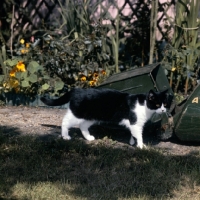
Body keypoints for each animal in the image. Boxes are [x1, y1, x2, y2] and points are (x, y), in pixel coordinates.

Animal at [41, 88, 169, 148]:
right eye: (157, 104)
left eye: (165, 104)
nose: (163, 110)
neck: (144, 105)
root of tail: (77, 89)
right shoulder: (135, 122)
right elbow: (139, 135)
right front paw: (141, 146)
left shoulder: (135, 124)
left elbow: (133, 134)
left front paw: (133, 142)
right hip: (77, 114)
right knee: (65, 121)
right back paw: (65, 136)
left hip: (90, 117)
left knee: (83, 125)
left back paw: (89, 138)